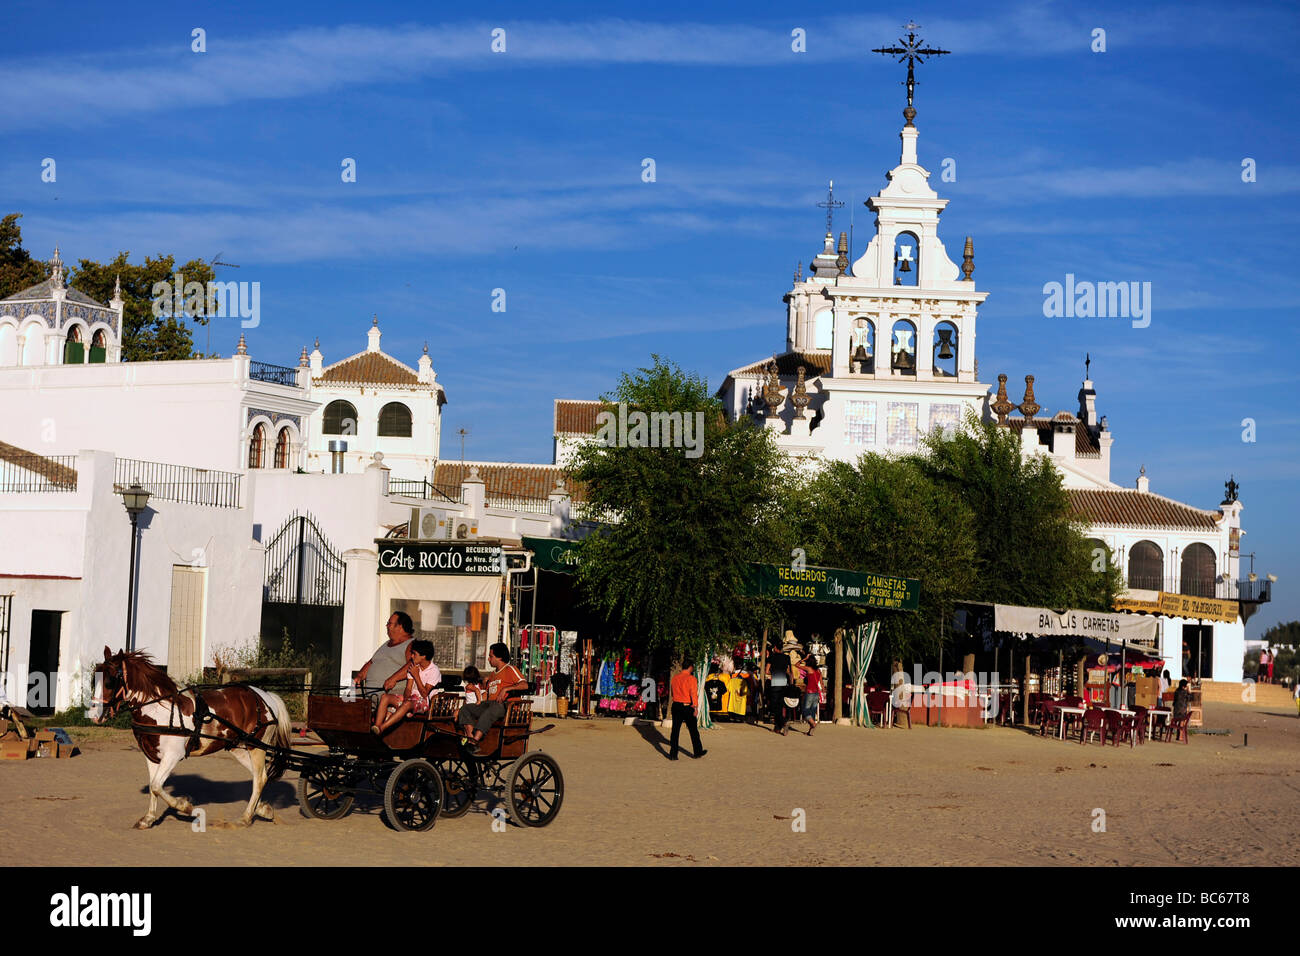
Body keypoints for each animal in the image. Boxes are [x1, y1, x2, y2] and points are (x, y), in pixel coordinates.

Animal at [91, 650, 292, 832]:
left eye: (109, 681)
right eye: (94, 679)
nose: (94, 715)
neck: (161, 709)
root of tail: (266, 696)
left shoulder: (173, 755)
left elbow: (156, 785)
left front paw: (185, 806)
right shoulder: (152, 756)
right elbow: (153, 786)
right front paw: (148, 819)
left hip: (256, 747)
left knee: (259, 778)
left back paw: (245, 818)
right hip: (240, 749)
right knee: (260, 776)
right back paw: (262, 808)